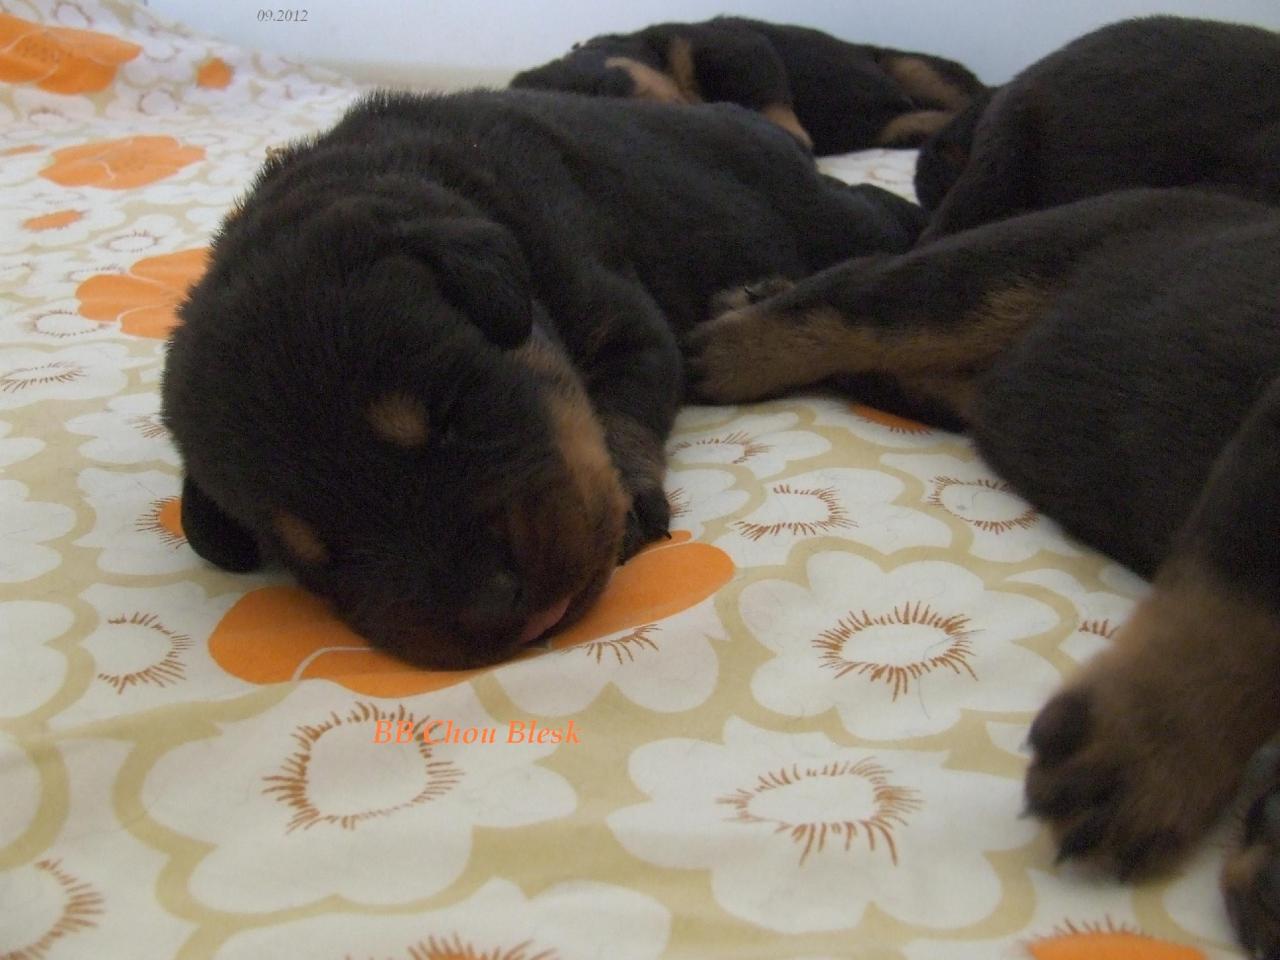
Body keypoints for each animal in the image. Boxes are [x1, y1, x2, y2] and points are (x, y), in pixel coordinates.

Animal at [160, 92, 926, 675]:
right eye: (312, 552)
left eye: (447, 414)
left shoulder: (628, 321)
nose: (495, 609)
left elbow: (619, 413)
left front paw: (632, 498)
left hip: (808, 207)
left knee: (875, 209)